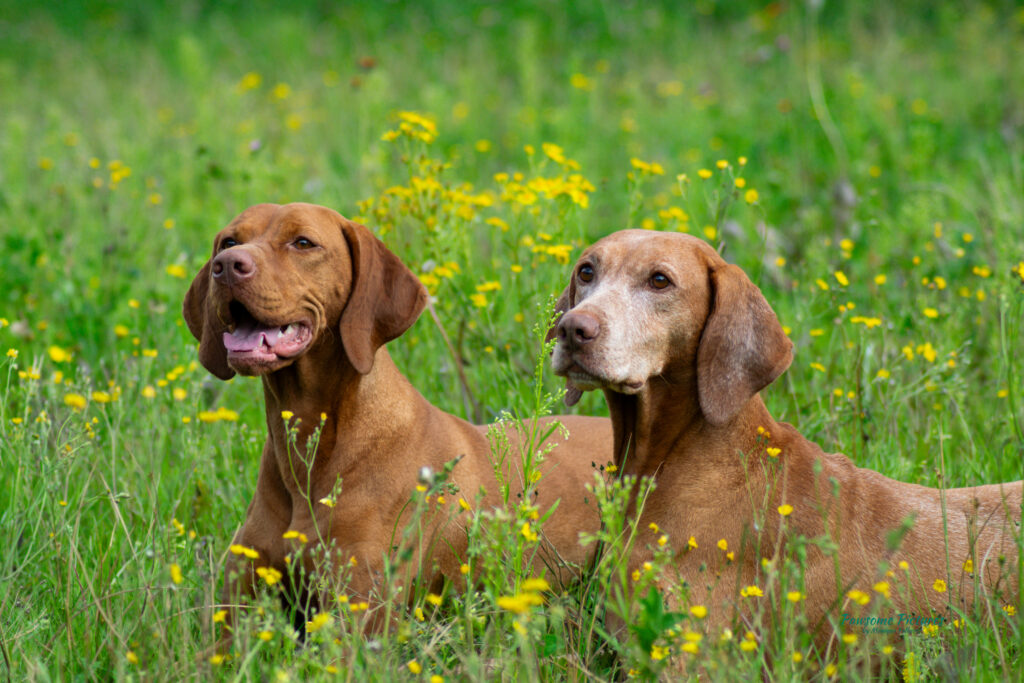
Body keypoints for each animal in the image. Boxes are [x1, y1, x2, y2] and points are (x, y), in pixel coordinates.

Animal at [183, 201, 606, 630]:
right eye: (229, 241)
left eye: (302, 242)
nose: (226, 265)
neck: (311, 453)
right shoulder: (234, 614)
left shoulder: (355, 616)